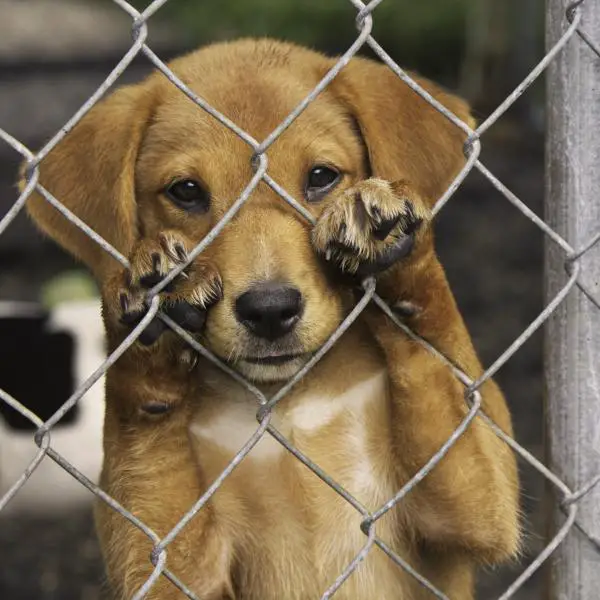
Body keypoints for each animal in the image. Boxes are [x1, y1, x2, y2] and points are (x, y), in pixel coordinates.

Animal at [21, 39, 516, 596]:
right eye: (186, 191)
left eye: (321, 177)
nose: (270, 309)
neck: (288, 402)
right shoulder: (174, 567)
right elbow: (146, 445)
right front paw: (151, 334)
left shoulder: (471, 513)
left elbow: (436, 351)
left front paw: (394, 243)